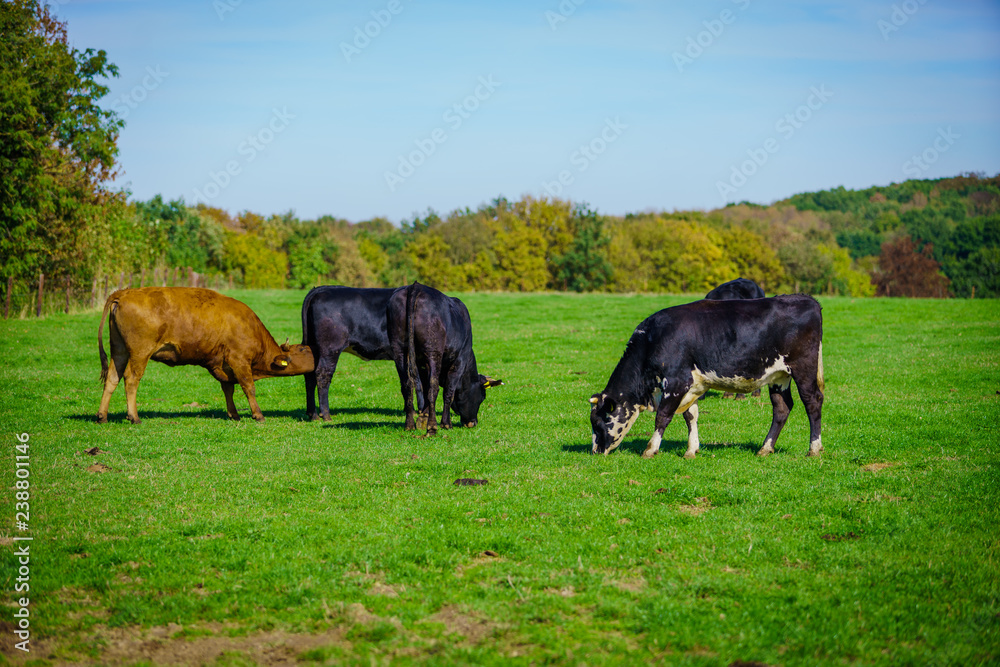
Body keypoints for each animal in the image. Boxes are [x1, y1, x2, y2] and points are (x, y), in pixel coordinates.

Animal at [96, 286, 312, 422]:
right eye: (303, 349)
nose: (315, 355)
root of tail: (123, 293)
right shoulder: (239, 361)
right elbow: (248, 387)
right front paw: (258, 415)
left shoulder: (224, 366)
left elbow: (228, 389)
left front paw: (234, 415)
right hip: (140, 353)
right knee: (131, 379)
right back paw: (134, 417)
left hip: (119, 351)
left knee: (112, 378)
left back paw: (102, 416)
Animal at [298, 284, 420, 420]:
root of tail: (320, 289)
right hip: (330, 349)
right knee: (322, 373)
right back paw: (325, 415)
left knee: (310, 375)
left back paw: (313, 414)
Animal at [388, 280, 504, 434]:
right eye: (482, 397)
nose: (473, 423)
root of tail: (416, 286)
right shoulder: (459, 361)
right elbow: (448, 392)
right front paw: (445, 423)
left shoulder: (421, 365)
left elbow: (424, 388)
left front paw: (423, 418)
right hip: (433, 352)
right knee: (433, 388)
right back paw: (432, 427)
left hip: (399, 350)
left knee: (407, 385)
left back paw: (409, 425)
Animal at [588, 296, 824, 460]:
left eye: (599, 423)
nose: (595, 452)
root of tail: (807, 300)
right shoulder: (692, 385)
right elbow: (690, 416)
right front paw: (691, 450)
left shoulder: (676, 381)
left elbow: (663, 416)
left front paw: (651, 449)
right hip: (779, 376)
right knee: (782, 408)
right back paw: (765, 448)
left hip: (803, 368)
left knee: (813, 402)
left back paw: (814, 448)